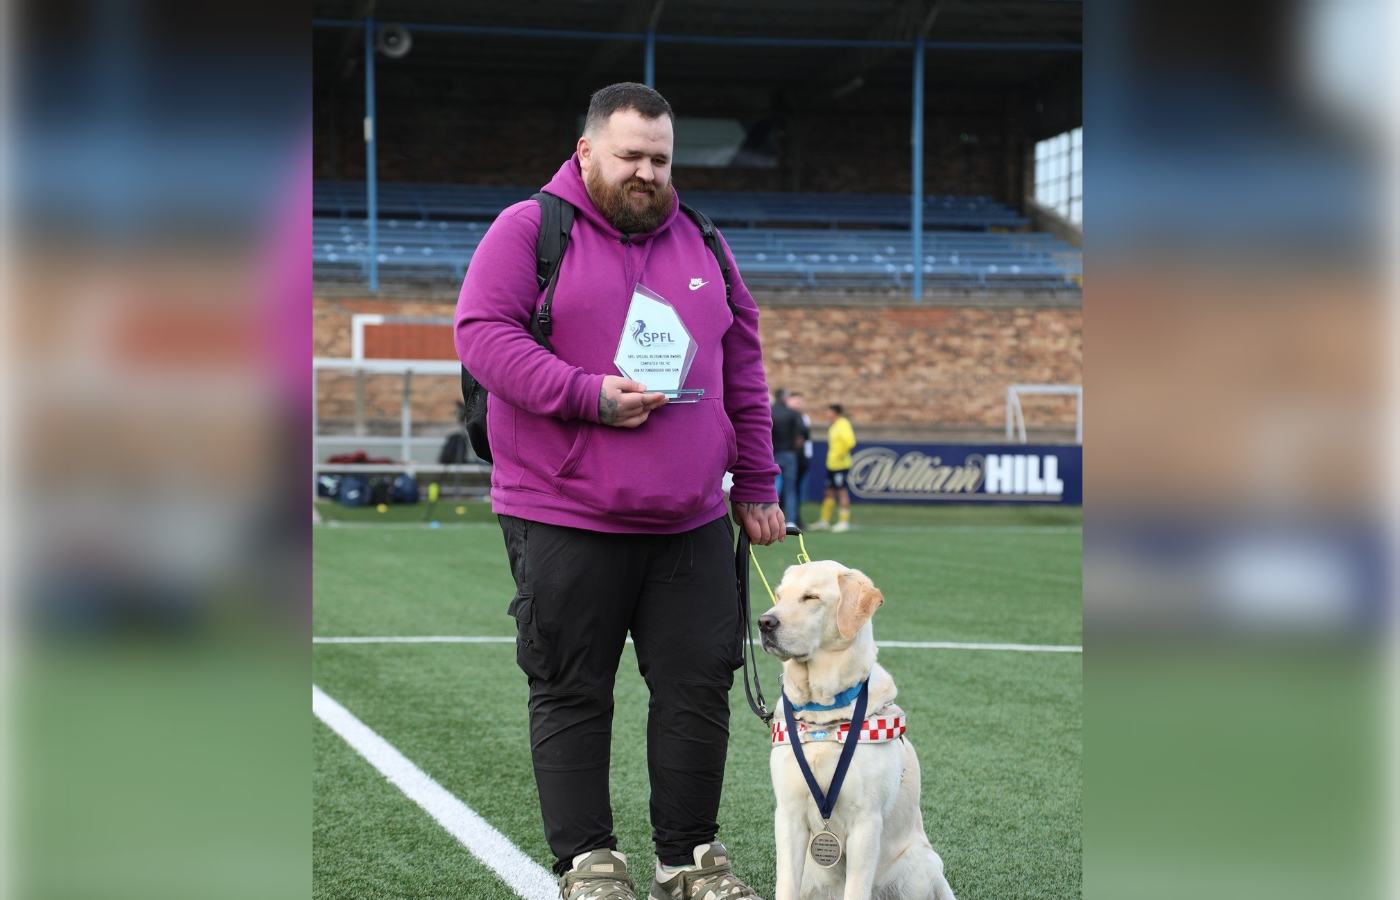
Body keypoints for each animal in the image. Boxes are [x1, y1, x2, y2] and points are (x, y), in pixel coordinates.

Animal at [761, 562, 957, 900]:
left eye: (811, 597)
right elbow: (785, 885)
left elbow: (856, 888)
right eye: (779, 596)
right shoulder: (788, 816)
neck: (823, 716)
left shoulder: (866, 821)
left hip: (918, 866)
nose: (764, 622)